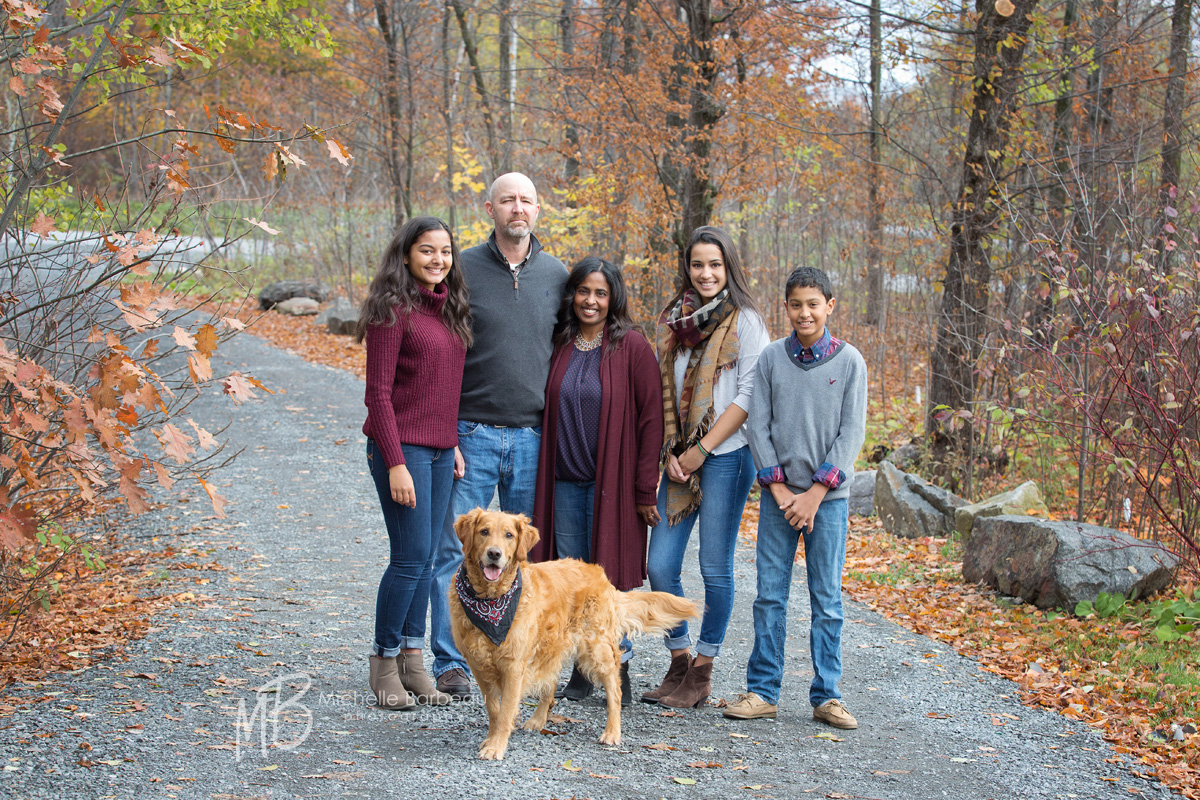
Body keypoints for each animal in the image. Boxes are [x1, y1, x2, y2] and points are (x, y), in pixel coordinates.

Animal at [451, 510, 700, 762]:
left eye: (509, 535)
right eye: (484, 532)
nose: (494, 553)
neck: (491, 600)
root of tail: (600, 574)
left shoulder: (513, 665)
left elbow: (505, 712)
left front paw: (496, 746)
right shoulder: (479, 665)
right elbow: (494, 710)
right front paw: (491, 739)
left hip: (598, 649)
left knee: (615, 691)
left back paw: (612, 732)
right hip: (551, 645)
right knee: (550, 685)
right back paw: (538, 719)